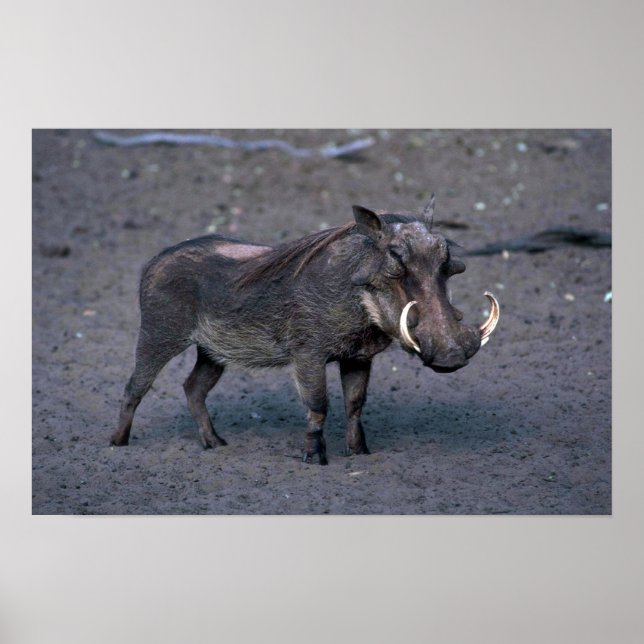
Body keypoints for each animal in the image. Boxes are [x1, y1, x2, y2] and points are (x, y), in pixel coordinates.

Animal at [111, 196, 499, 464]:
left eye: (446, 260)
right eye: (395, 258)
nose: (450, 356)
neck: (358, 298)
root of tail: (154, 261)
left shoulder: (358, 357)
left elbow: (354, 404)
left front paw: (359, 454)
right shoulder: (307, 353)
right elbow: (318, 405)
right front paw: (314, 459)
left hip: (213, 351)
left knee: (193, 388)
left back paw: (215, 444)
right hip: (158, 335)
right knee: (134, 388)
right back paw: (117, 443)